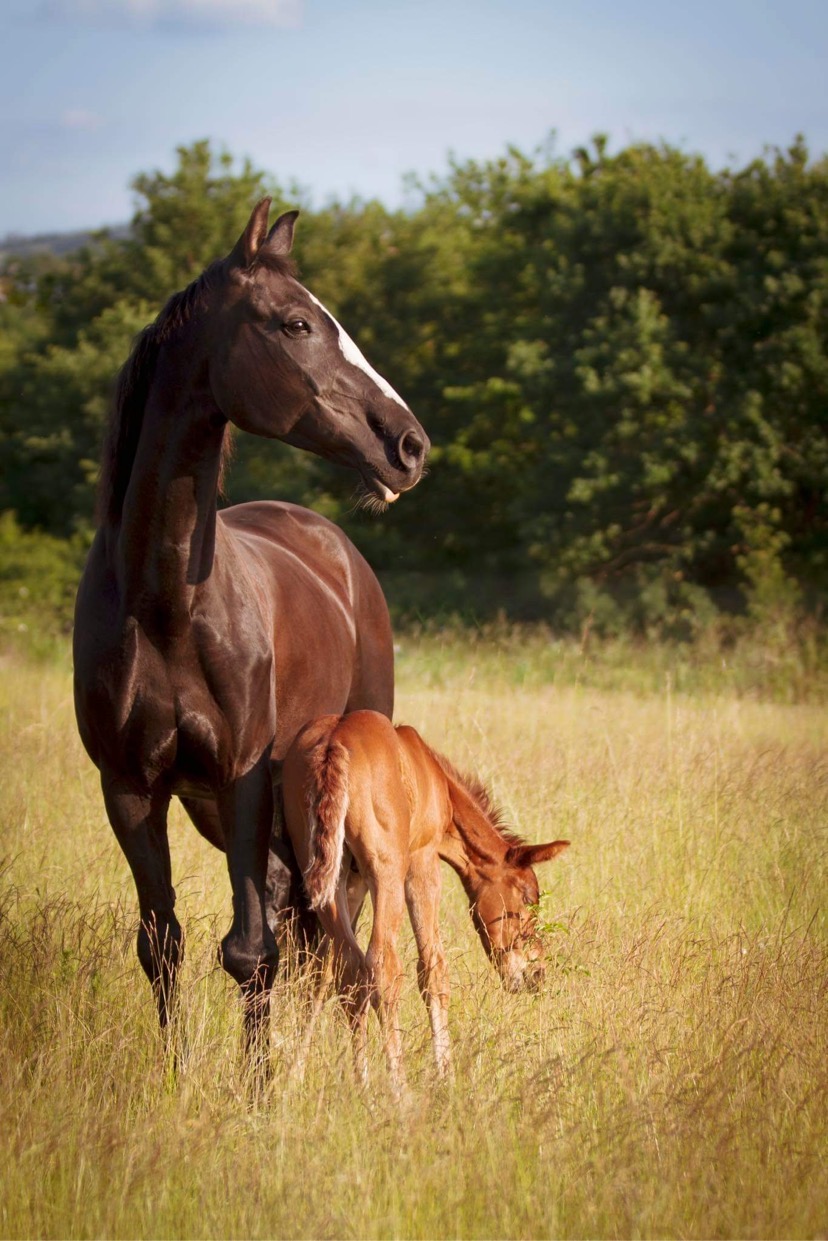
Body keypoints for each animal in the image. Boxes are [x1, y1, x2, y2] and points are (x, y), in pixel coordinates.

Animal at [72, 200, 429, 1064]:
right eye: (296, 323)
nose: (409, 445)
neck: (164, 602)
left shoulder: (241, 776)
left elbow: (251, 950)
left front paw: (259, 1083)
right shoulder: (128, 787)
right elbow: (162, 940)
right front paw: (179, 1076)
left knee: (329, 927)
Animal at [282, 710, 569, 1093]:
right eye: (527, 896)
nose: (535, 974)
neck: (432, 776)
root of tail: (333, 745)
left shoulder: (351, 881)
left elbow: (325, 972)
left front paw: (295, 1076)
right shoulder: (423, 862)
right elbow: (433, 969)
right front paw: (445, 1074)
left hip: (322, 872)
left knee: (350, 967)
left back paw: (361, 1084)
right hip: (386, 871)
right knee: (382, 967)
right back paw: (398, 1089)